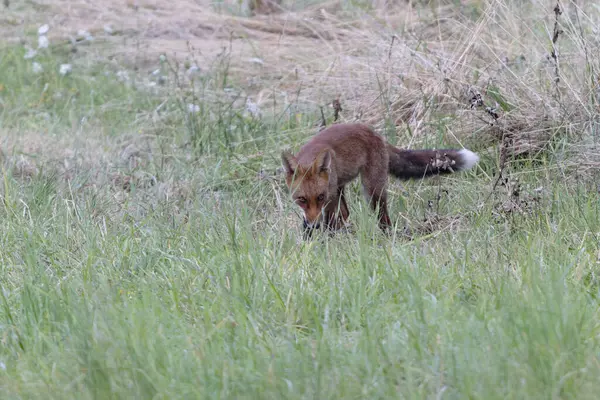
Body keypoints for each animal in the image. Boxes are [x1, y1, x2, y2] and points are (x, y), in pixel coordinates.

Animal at [282, 122, 478, 234]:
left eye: (320, 197)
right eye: (301, 199)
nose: (314, 226)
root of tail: (376, 134)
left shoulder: (329, 198)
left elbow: (328, 223)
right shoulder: (326, 199)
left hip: (372, 191)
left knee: (382, 220)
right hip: (342, 187)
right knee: (345, 213)